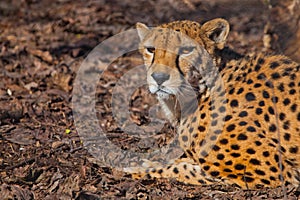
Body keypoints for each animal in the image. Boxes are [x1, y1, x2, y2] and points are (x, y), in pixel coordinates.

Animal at [126, 17, 300, 189]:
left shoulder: (271, 171)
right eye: (151, 49)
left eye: (186, 50)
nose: (159, 77)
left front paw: (138, 169)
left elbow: (181, 168)